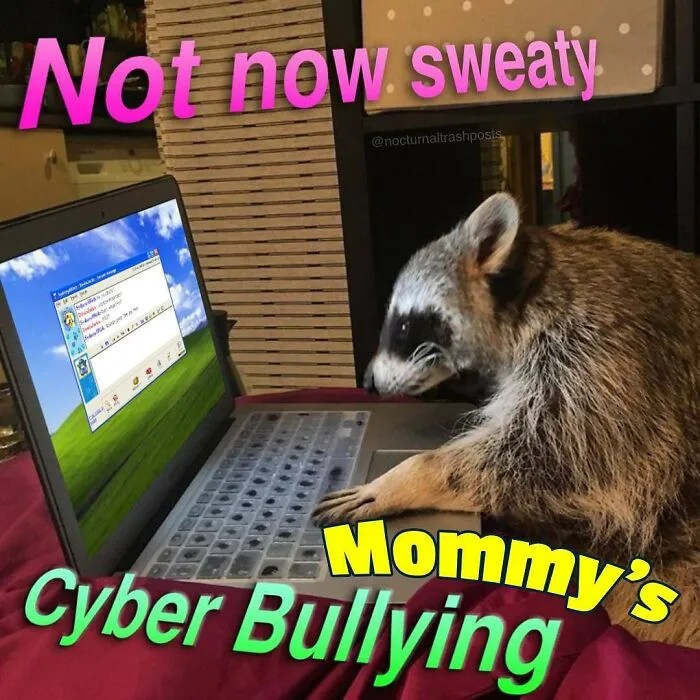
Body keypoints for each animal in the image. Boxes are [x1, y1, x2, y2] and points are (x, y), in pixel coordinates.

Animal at [313, 192, 700, 648]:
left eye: (405, 324)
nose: (368, 384)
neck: (532, 291)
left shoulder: (605, 359)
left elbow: (563, 458)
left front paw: (410, 476)